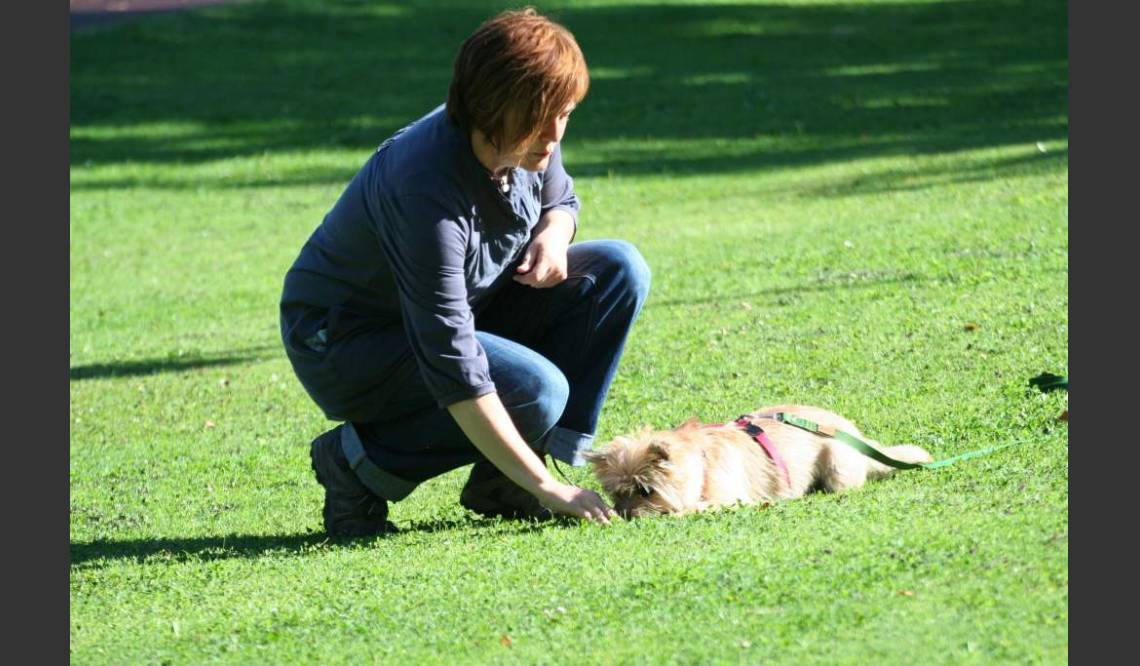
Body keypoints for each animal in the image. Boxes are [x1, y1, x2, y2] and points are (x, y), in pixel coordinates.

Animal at [583, 403, 930, 517]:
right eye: (616, 493)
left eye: (646, 491)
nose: (625, 514)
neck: (702, 465)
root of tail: (853, 433)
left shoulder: (730, 498)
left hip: (837, 468)